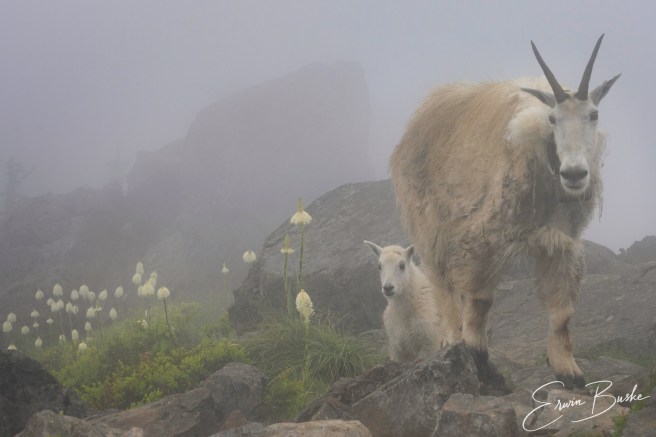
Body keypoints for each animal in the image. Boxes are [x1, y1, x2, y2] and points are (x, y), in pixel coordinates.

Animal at [389, 35, 619, 388]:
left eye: (593, 115)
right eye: (553, 119)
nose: (574, 174)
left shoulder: (562, 242)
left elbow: (562, 313)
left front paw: (568, 371)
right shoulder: (483, 237)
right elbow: (480, 299)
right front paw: (477, 356)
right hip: (430, 224)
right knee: (442, 284)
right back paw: (450, 338)